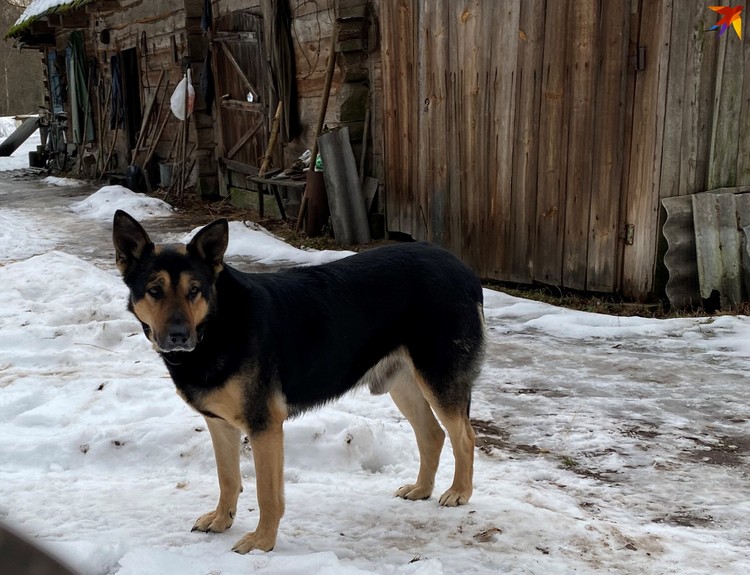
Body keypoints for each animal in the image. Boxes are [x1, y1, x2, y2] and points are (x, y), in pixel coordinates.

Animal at [111, 210, 488, 552]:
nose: (178, 336)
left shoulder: (264, 426)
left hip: (438, 380)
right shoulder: (220, 424)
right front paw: (221, 520)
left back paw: (459, 492)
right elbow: (228, 478)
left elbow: (267, 493)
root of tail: (464, 270)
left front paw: (262, 542)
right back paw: (421, 489)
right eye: (154, 291)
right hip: (403, 384)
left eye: (194, 291)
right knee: (432, 434)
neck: (217, 326)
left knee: (464, 437)